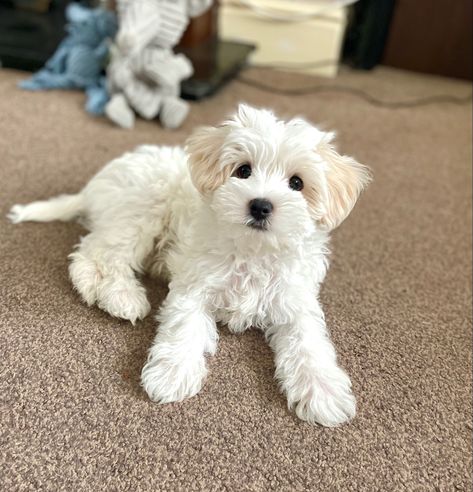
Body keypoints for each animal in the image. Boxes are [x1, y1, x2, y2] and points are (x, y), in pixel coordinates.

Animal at [7, 104, 368, 426]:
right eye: (243, 170)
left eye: (297, 183)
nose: (260, 206)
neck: (252, 250)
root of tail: (95, 184)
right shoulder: (195, 284)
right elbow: (185, 325)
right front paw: (171, 373)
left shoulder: (296, 300)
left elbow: (309, 342)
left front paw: (323, 392)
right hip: (141, 208)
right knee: (95, 254)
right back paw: (123, 297)